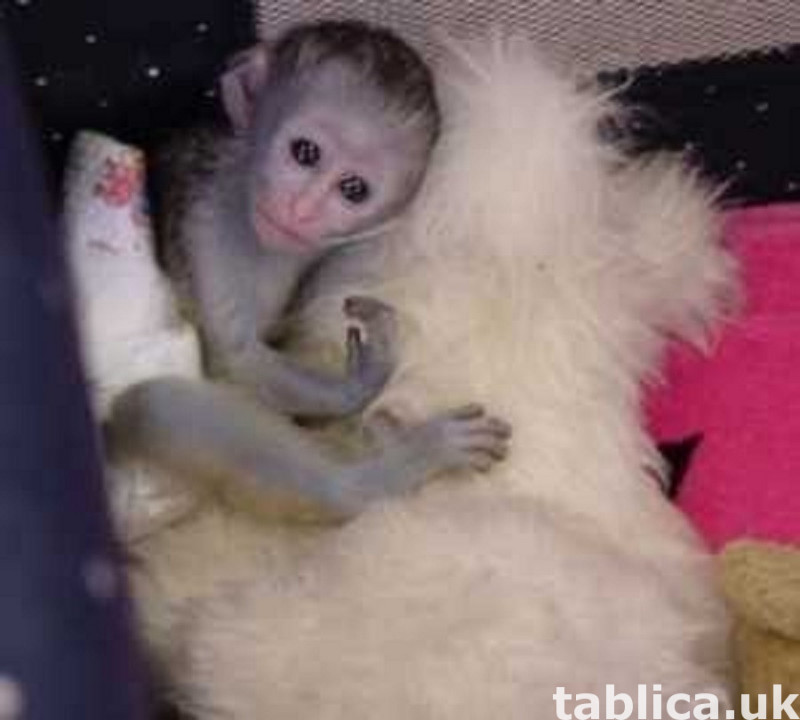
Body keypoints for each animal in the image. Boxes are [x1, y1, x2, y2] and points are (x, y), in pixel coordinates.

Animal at [107, 21, 512, 523]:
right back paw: (381, 472)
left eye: (353, 189)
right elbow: (239, 357)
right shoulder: (209, 220)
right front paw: (357, 388)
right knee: (154, 406)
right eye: (305, 152)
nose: (300, 210)